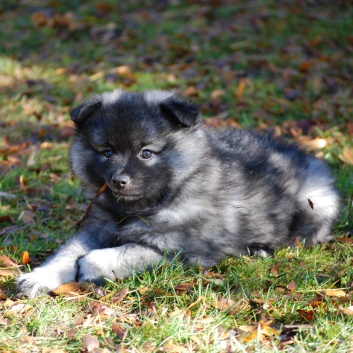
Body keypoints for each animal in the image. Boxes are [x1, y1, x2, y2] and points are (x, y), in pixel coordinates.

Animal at [16, 89, 338, 296]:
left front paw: (93, 264)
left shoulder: (184, 250)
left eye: (146, 153)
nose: (119, 180)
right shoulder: (94, 228)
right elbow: (65, 253)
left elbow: (131, 251)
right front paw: (39, 277)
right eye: (107, 152)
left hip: (313, 205)